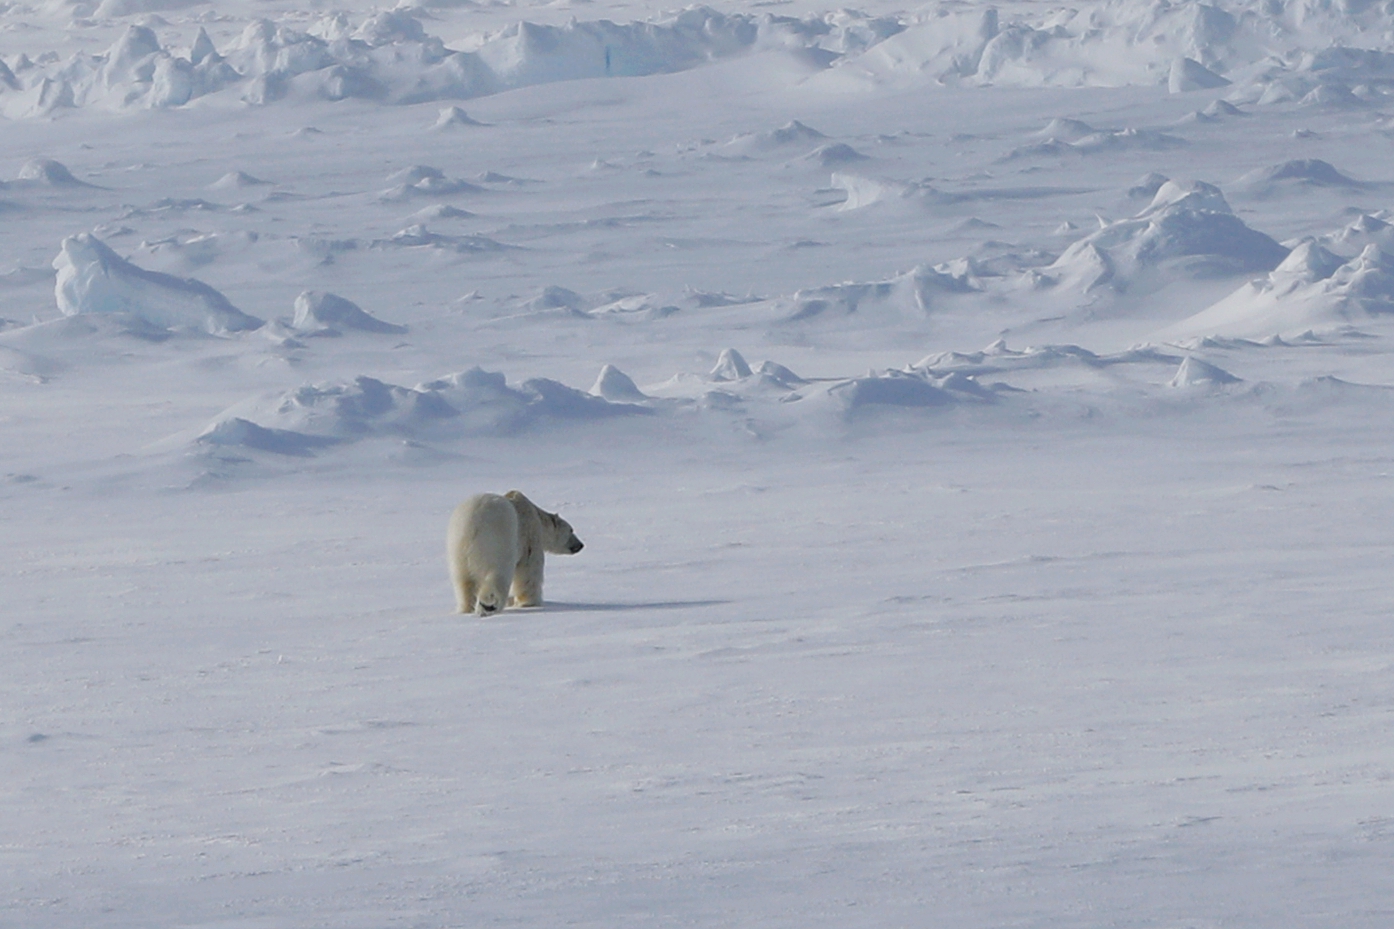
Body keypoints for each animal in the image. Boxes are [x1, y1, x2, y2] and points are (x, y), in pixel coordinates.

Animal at [443, 488, 579, 610]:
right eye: (571, 530)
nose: (580, 545)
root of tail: (471, 527)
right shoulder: (529, 535)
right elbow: (530, 569)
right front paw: (529, 602)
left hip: (457, 550)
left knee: (462, 582)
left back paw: (466, 608)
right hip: (497, 544)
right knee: (498, 574)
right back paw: (489, 605)